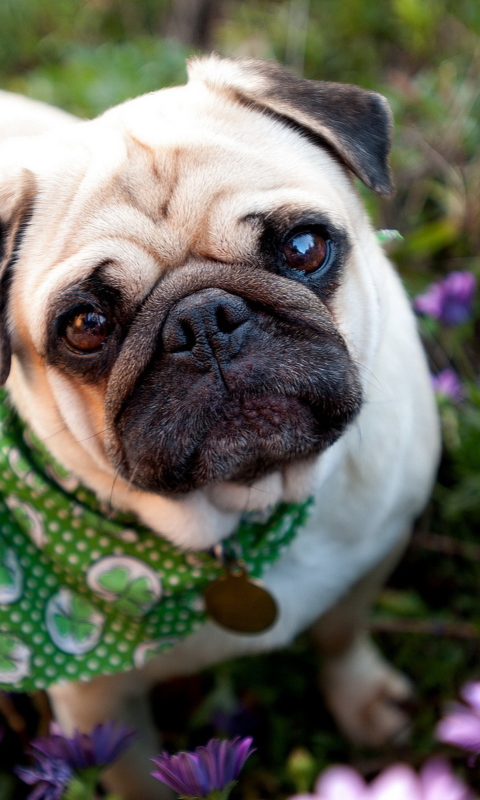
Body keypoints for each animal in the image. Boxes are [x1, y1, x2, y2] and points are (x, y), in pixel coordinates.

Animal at [0, 57, 438, 800]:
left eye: (304, 247)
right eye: (86, 325)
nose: (202, 320)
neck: (248, 513)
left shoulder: (377, 549)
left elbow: (342, 635)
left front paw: (365, 703)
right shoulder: (98, 705)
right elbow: (136, 775)